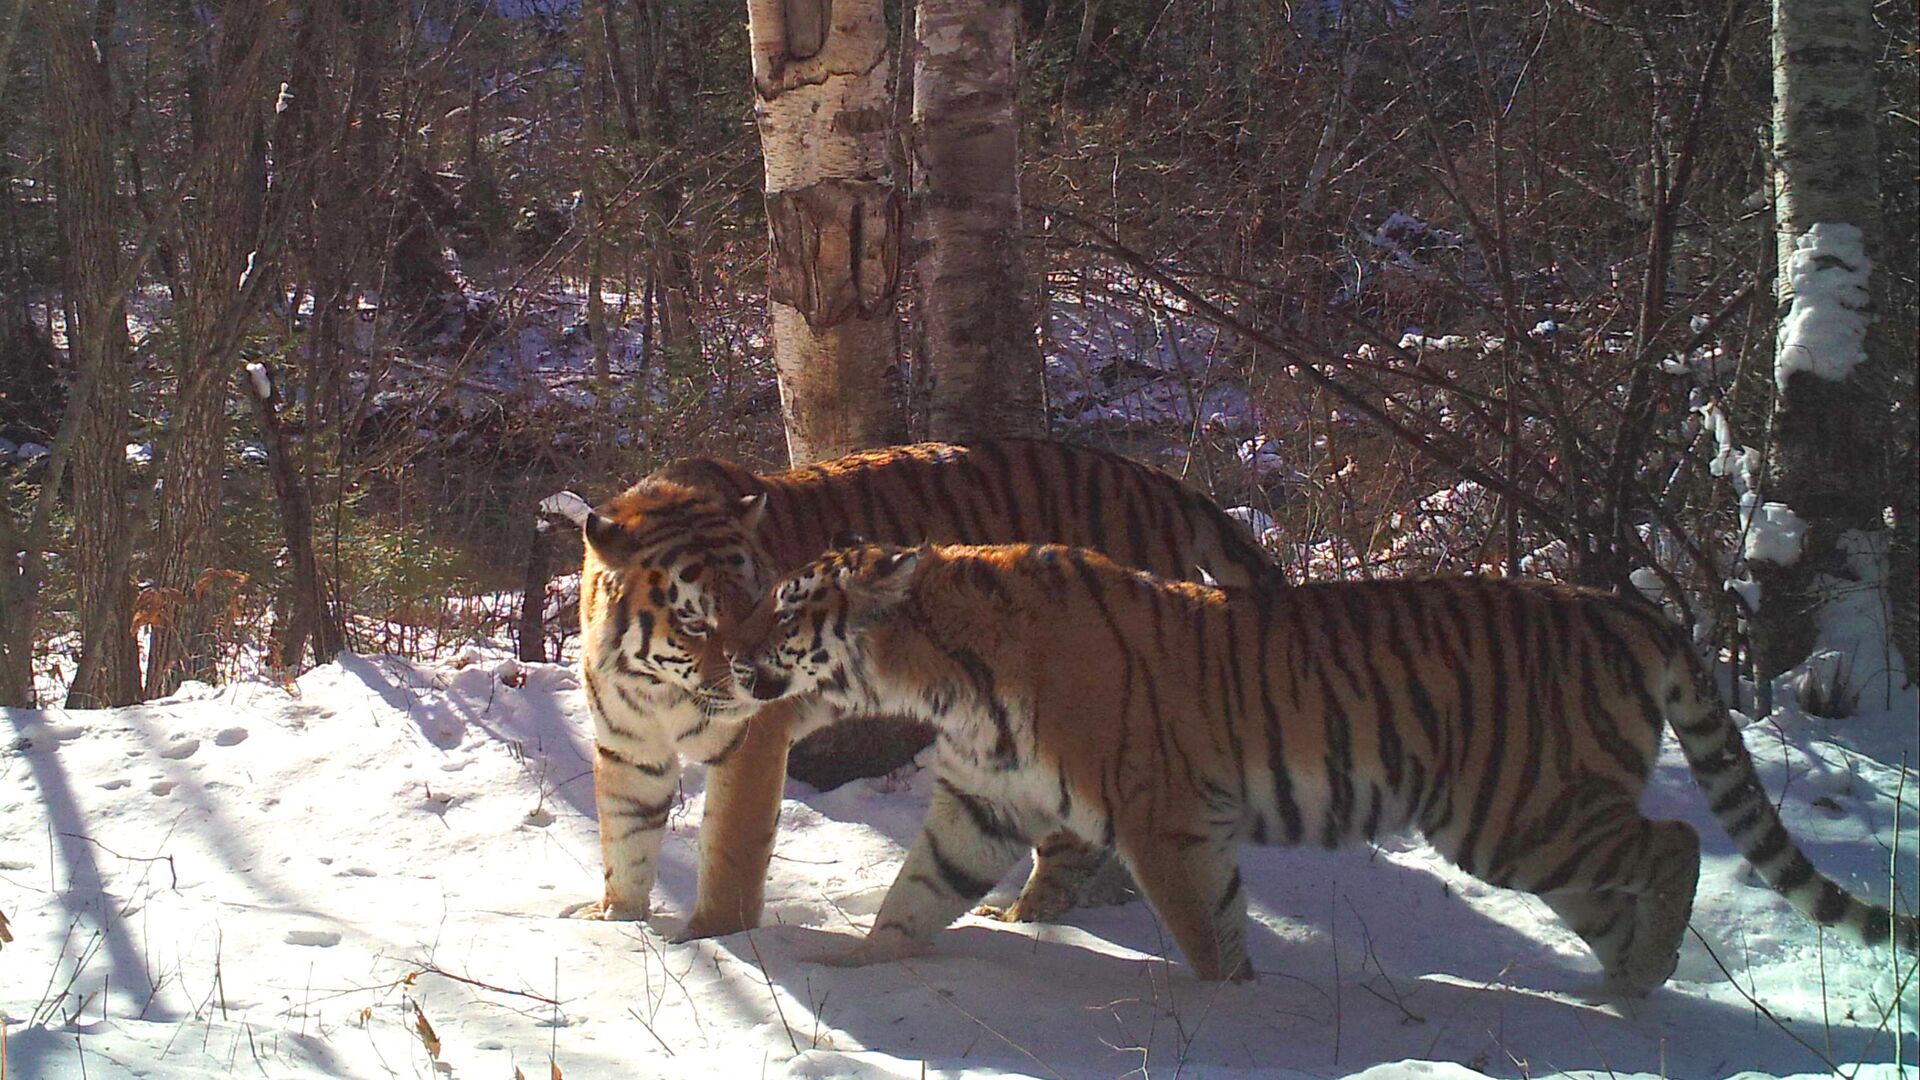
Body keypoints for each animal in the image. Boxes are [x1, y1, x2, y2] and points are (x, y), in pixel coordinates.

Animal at [576, 438, 1282, 933]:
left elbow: (728, 850)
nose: (748, 679)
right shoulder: (627, 746)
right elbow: (625, 838)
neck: (653, 686)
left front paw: (711, 937)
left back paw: (1025, 916)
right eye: (695, 620)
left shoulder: (750, 746)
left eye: (759, 604)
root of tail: (1159, 480)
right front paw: (616, 923)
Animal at [725, 541, 1912, 991]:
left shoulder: (1167, 820)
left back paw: (1648, 974)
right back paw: (1629, 993)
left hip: (1513, 812)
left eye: (786, 610)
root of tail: (1625, 608)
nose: (732, 656)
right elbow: (914, 897)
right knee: (1624, 888)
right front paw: (853, 965)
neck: (940, 684)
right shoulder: (980, 804)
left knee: (1671, 844)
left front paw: (1235, 1013)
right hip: (1536, 832)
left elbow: (1208, 933)